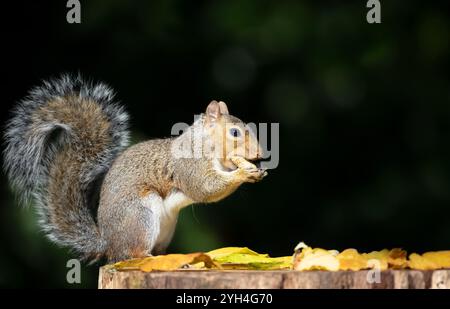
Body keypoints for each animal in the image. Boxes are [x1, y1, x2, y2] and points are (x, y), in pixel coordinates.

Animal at [3, 74, 268, 262]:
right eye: (235, 133)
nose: (259, 154)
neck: (206, 144)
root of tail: (108, 244)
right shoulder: (190, 165)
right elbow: (205, 187)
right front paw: (243, 173)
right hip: (140, 216)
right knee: (131, 253)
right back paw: (145, 256)